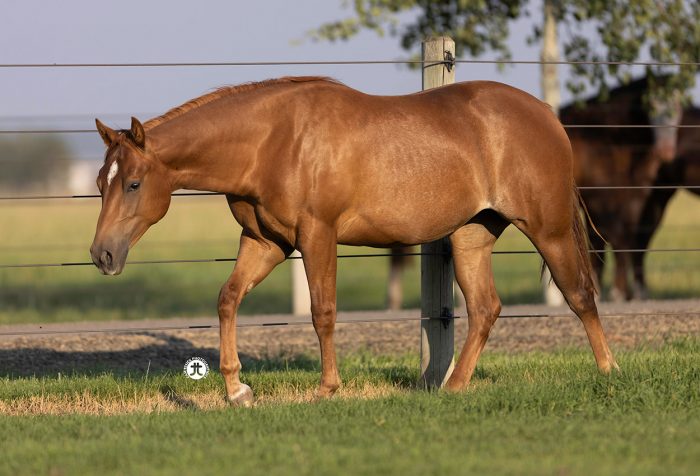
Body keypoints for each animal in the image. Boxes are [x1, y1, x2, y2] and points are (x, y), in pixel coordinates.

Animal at [89, 76, 618, 406]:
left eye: (132, 183)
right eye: (100, 181)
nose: (102, 254)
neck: (272, 141)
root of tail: (546, 115)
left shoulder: (317, 235)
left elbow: (323, 311)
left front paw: (327, 389)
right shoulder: (264, 242)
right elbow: (228, 299)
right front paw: (237, 390)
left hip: (548, 230)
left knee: (579, 295)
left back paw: (610, 373)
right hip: (473, 235)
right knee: (486, 308)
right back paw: (453, 388)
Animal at [560, 76, 682, 301]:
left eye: (677, 107)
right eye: (651, 106)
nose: (666, 151)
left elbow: (601, 242)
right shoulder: (604, 200)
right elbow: (619, 239)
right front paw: (618, 292)